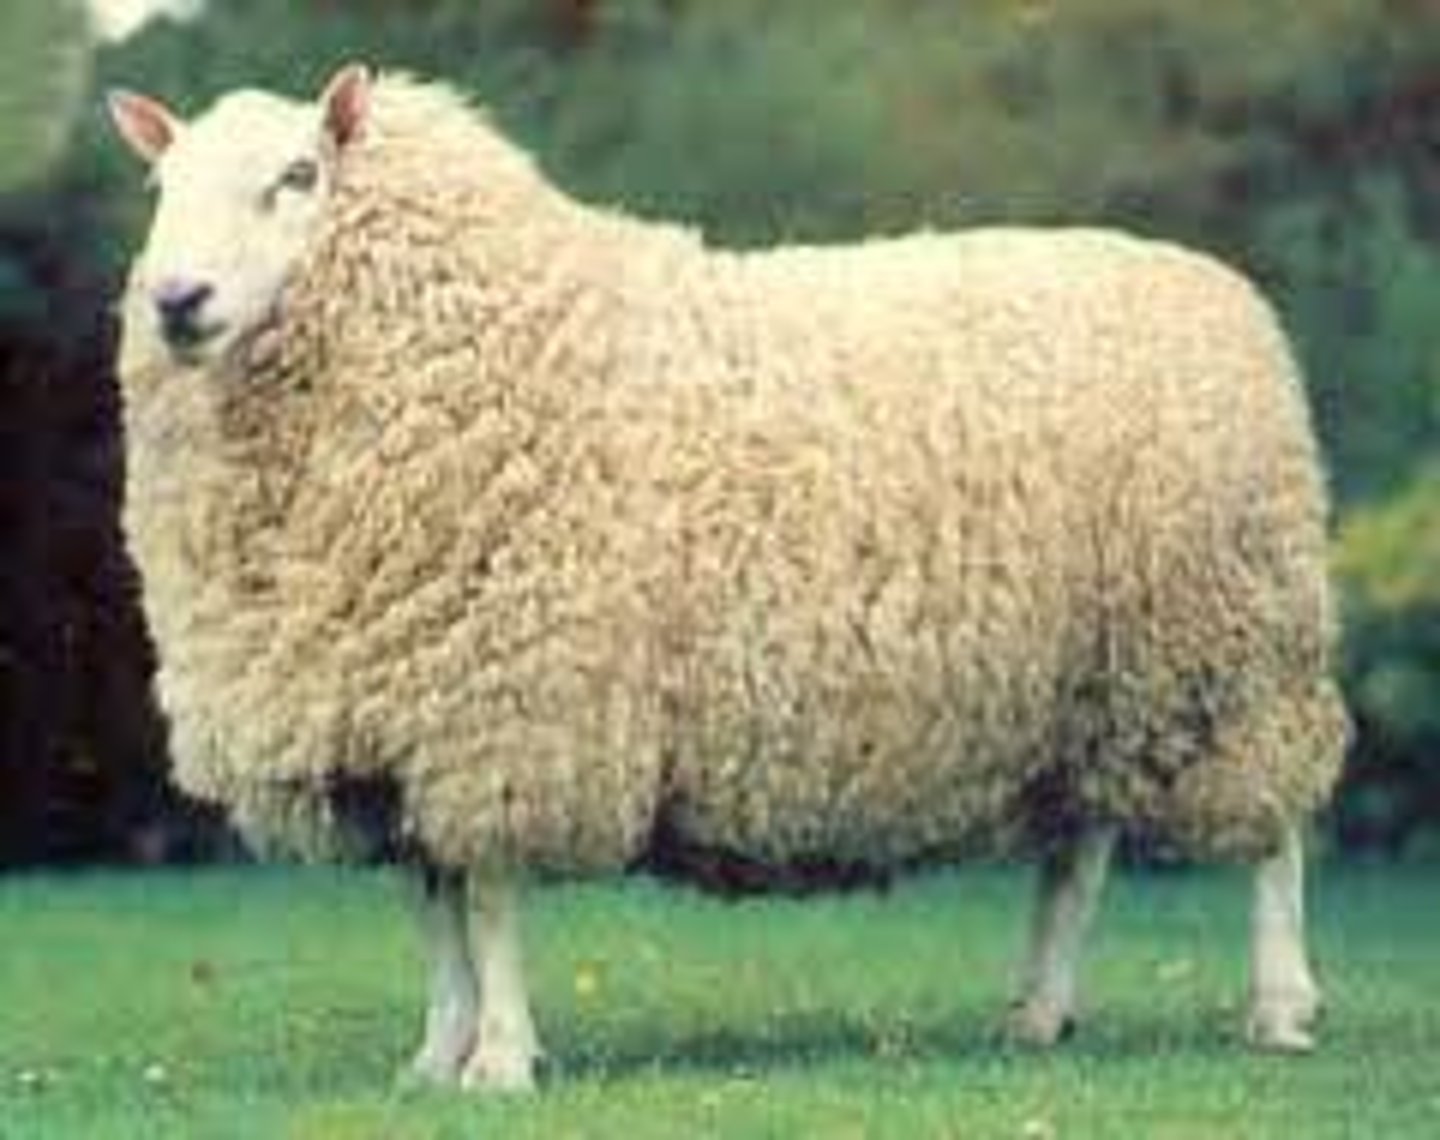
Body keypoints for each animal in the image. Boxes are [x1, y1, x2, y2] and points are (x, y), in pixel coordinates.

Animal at [107, 64, 1350, 1091]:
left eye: (298, 175)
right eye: (160, 184)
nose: (176, 302)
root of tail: (1225, 291)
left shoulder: (511, 707)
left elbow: (491, 900)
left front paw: (500, 1061)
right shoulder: (394, 727)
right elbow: (435, 907)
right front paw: (436, 1057)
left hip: (1236, 656)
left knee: (1276, 835)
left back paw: (1281, 1009)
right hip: (1095, 681)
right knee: (1078, 852)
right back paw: (1039, 1012)